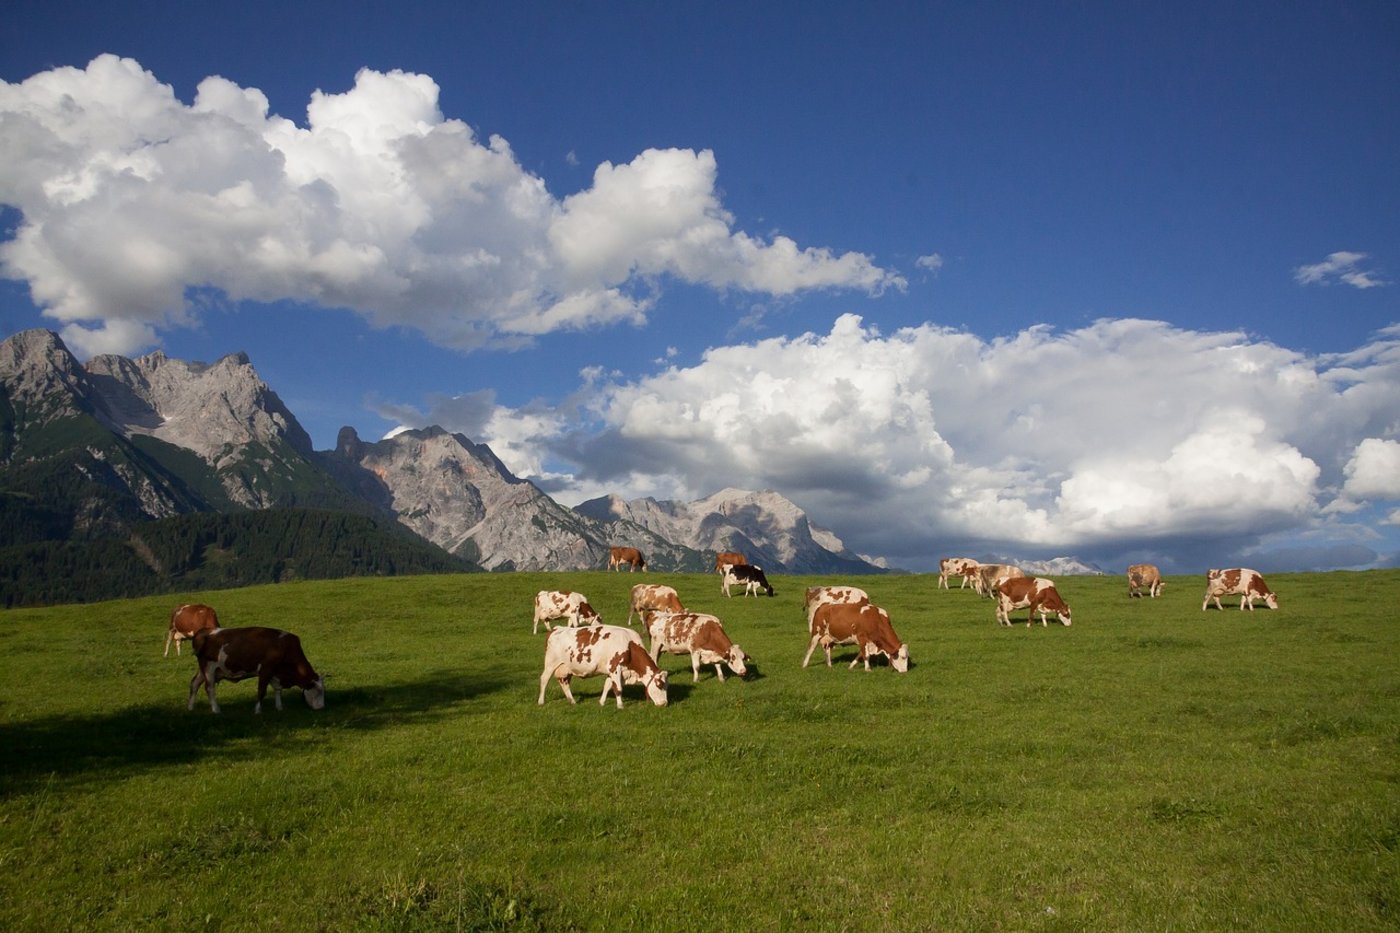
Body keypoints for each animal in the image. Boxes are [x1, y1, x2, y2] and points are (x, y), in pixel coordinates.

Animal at [187, 627, 325, 714]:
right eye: (318, 691)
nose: (322, 707)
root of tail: (204, 631)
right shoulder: (266, 669)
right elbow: (261, 691)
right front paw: (258, 710)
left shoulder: (275, 673)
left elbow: (278, 690)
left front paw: (279, 707)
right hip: (209, 668)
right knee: (209, 688)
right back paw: (216, 710)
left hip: (204, 669)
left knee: (194, 683)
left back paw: (191, 707)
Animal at [537, 624, 669, 708]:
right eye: (660, 685)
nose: (664, 703)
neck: (629, 645)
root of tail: (556, 629)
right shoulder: (615, 668)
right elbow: (618, 689)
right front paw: (620, 706)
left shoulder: (612, 671)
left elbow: (607, 686)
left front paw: (601, 702)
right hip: (551, 663)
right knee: (544, 679)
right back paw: (541, 701)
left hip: (566, 668)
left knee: (564, 683)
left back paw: (572, 701)